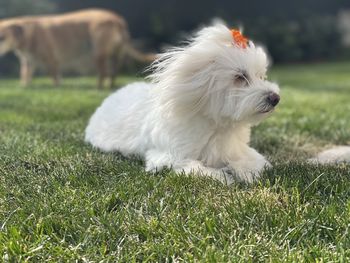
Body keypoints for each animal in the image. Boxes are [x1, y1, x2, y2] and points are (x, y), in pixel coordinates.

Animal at [0, 8, 154, 88]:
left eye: (2, 37)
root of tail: (118, 20)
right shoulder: (28, 62)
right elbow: (25, 75)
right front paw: (24, 86)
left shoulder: (52, 60)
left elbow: (54, 76)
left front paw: (57, 87)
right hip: (115, 56)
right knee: (113, 74)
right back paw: (111, 87)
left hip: (98, 53)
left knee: (103, 73)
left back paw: (98, 88)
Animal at [86, 22, 280, 184]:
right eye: (240, 77)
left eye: (261, 76)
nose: (275, 98)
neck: (217, 125)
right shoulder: (167, 156)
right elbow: (195, 167)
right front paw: (224, 177)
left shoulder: (237, 149)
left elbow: (252, 161)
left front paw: (245, 172)